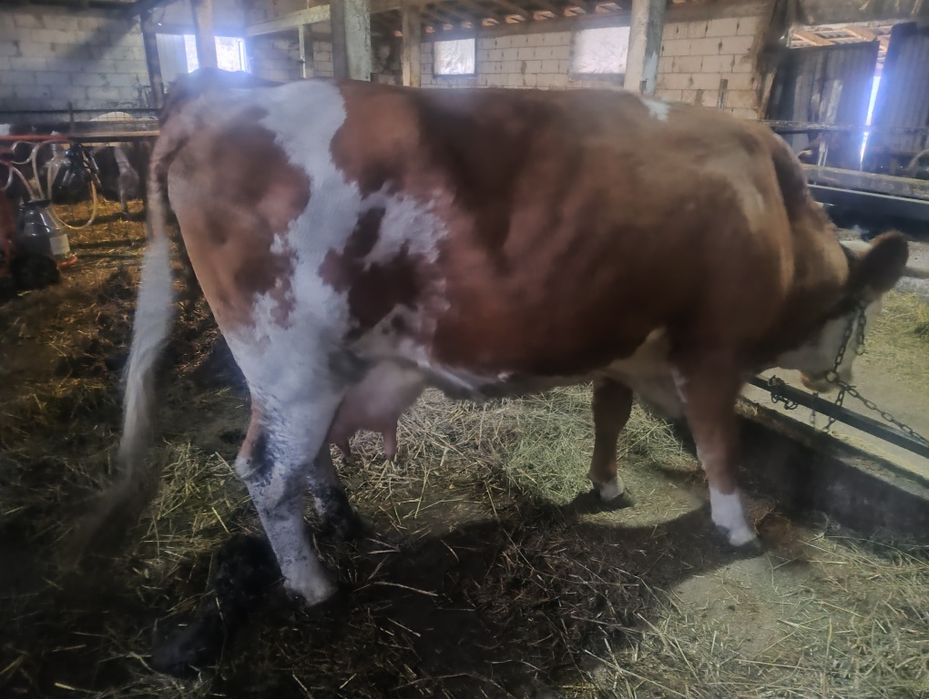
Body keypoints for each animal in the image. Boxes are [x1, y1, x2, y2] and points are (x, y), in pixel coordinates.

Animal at [83, 69, 908, 608]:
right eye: (862, 314)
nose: (839, 375)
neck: (772, 212)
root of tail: (216, 102)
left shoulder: (619, 337)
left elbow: (609, 413)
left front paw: (606, 483)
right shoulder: (712, 350)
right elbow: (719, 445)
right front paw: (735, 527)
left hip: (319, 370)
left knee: (306, 458)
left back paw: (344, 520)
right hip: (290, 360)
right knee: (266, 471)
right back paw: (312, 583)